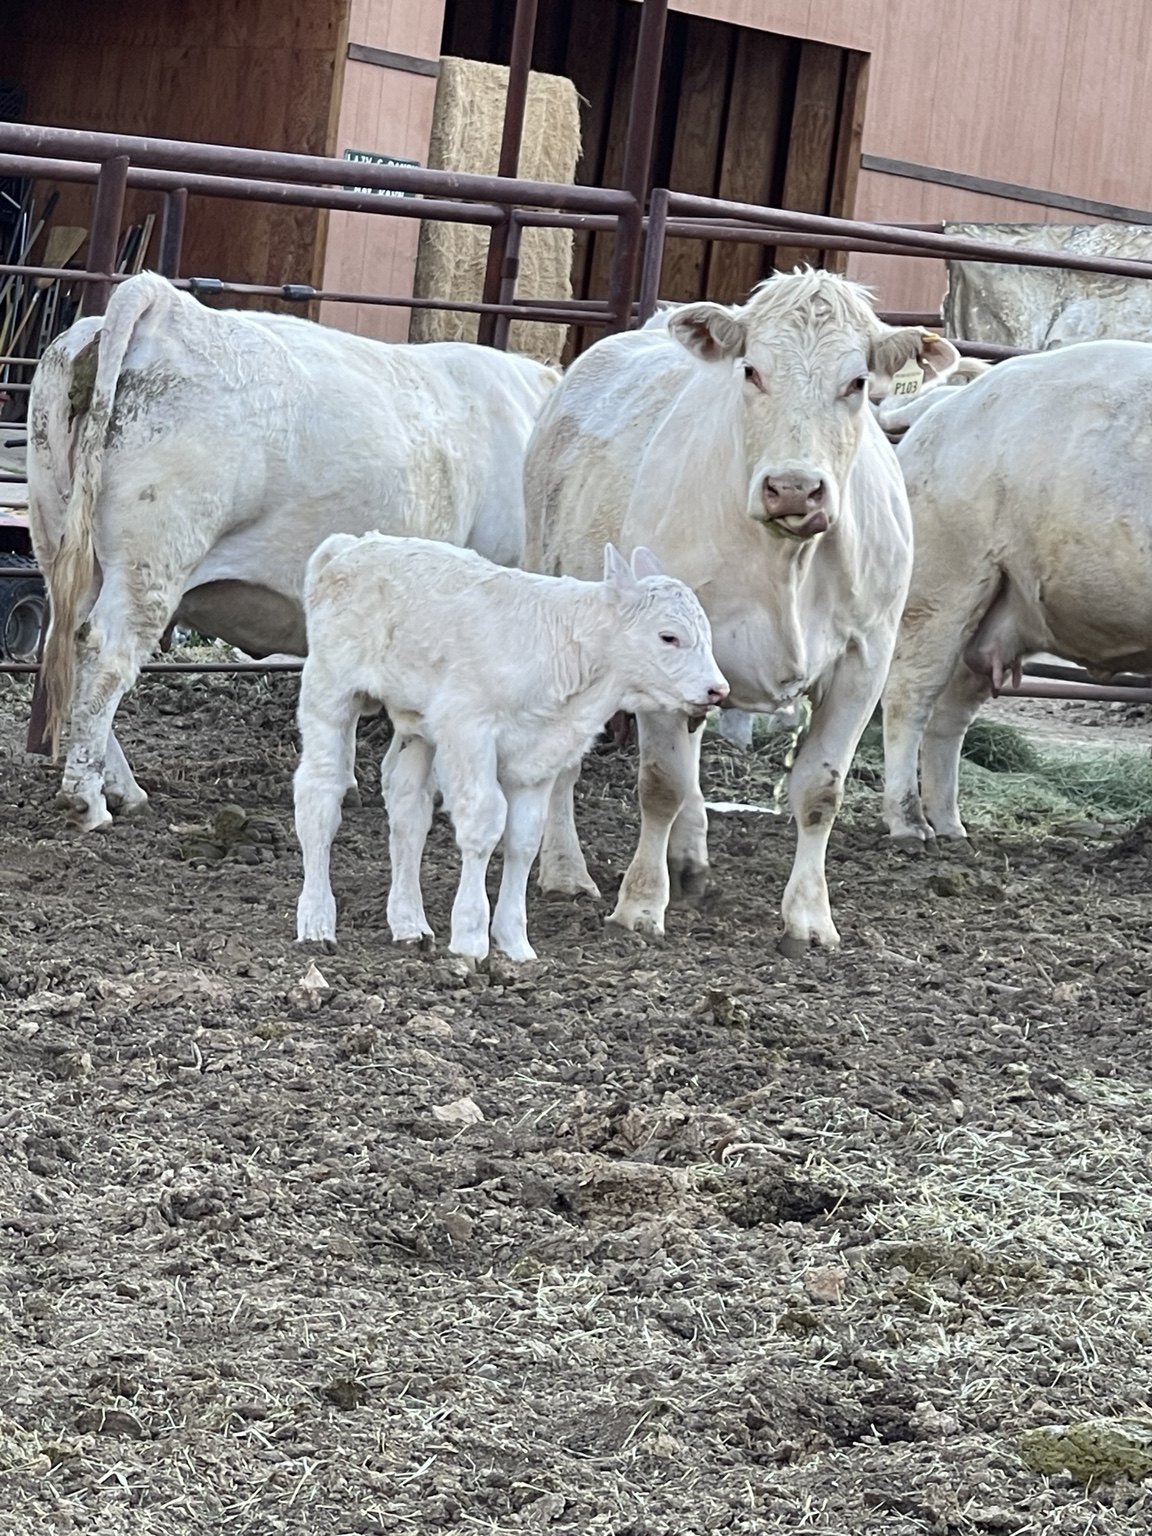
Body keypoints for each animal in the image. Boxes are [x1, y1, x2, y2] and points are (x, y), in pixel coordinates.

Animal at [27, 272, 558, 832]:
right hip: (151, 562)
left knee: (72, 645)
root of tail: (161, 301)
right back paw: (88, 798)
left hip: (63, 545)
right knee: (105, 654)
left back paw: (124, 788)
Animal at [294, 535, 727, 962]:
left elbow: (524, 839)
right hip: (330, 693)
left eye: (707, 635)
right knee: (319, 794)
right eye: (669, 637)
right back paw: (316, 922)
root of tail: (351, 546)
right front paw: (470, 940)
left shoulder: (540, 755)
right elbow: (483, 824)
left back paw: (410, 924)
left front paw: (515, 943)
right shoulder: (468, 730)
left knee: (408, 808)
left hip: (417, 728)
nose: (717, 690)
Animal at [524, 269, 960, 953]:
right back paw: (567, 870)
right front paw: (640, 904)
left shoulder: (866, 657)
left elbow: (819, 791)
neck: (786, 559)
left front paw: (809, 918)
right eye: (751, 370)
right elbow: (662, 784)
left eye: (858, 382)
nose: (793, 487)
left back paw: (690, 862)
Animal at [882, 338, 1152, 844]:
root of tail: (951, 401)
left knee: (949, 713)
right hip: (943, 586)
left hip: (996, 607)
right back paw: (908, 822)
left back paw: (950, 824)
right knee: (909, 695)